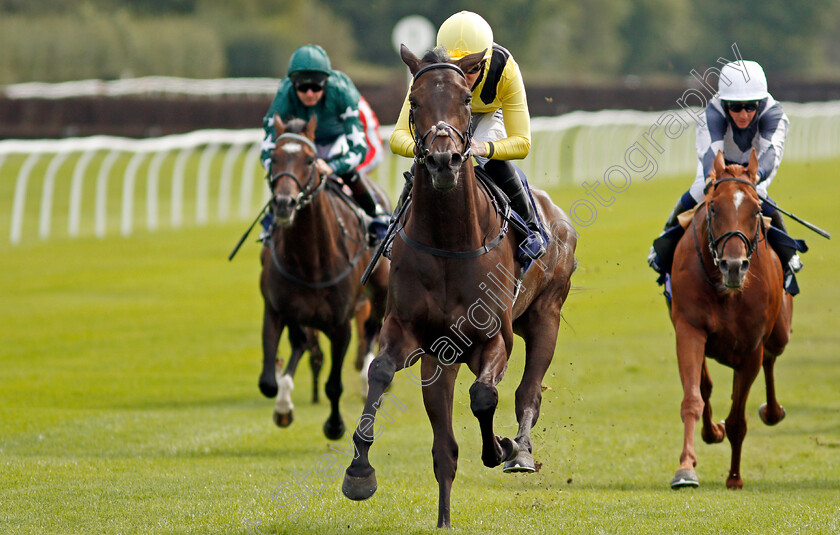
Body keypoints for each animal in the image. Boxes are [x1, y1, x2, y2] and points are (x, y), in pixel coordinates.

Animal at [258, 117, 388, 440]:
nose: (284, 203)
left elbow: (334, 385)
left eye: (309, 160)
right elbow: (268, 381)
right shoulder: (276, 309)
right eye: (273, 158)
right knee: (301, 343)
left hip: (380, 291)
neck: (311, 262)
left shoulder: (341, 325)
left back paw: (368, 378)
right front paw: (282, 401)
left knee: (372, 329)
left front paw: (334, 425)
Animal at [342, 45, 576, 528]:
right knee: (443, 448)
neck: (450, 241)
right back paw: (444, 518)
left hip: (547, 314)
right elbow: (381, 373)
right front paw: (359, 471)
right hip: (442, 359)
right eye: (413, 102)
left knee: (527, 392)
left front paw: (499, 448)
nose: (443, 160)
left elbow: (485, 396)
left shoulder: (495, 336)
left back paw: (520, 453)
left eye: (467, 100)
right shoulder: (412, 334)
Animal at [668, 150, 792, 490]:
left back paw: (772, 411)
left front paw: (734, 477)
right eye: (713, 206)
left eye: (756, 210)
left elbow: (738, 418)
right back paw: (712, 432)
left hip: (779, 331)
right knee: (706, 385)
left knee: (773, 355)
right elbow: (693, 398)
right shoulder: (689, 328)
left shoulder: (751, 348)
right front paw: (686, 467)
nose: (733, 266)